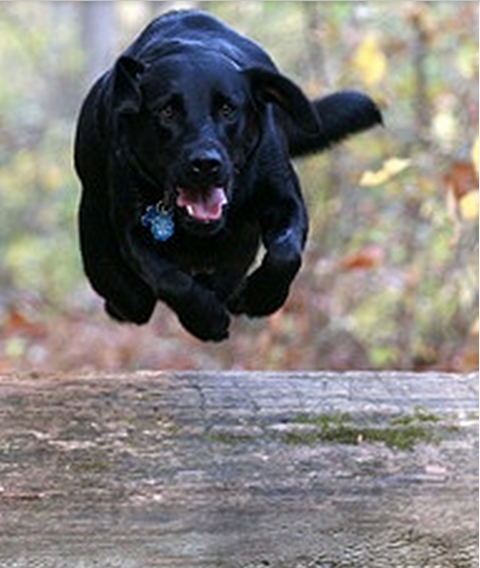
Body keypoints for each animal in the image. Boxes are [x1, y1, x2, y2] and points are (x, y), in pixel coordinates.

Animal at [74, 10, 382, 342]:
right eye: (167, 111)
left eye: (227, 109)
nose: (205, 163)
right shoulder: (134, 230)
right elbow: (168, 277)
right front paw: (206, 318)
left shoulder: (284, 200)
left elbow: (286, 254)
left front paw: (261, 297)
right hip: (97, 237)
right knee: (134, 298)